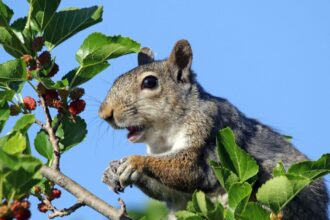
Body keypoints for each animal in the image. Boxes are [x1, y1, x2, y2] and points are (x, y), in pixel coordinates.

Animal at [99, 40, 328, 220]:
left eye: (149, 82)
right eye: (116, 79)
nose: (105, 113)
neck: (165, 135)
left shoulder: (209, 131)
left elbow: (192, 169)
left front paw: (135, 161)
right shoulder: (175, 192)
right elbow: (168, 192)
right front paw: (112, 171)